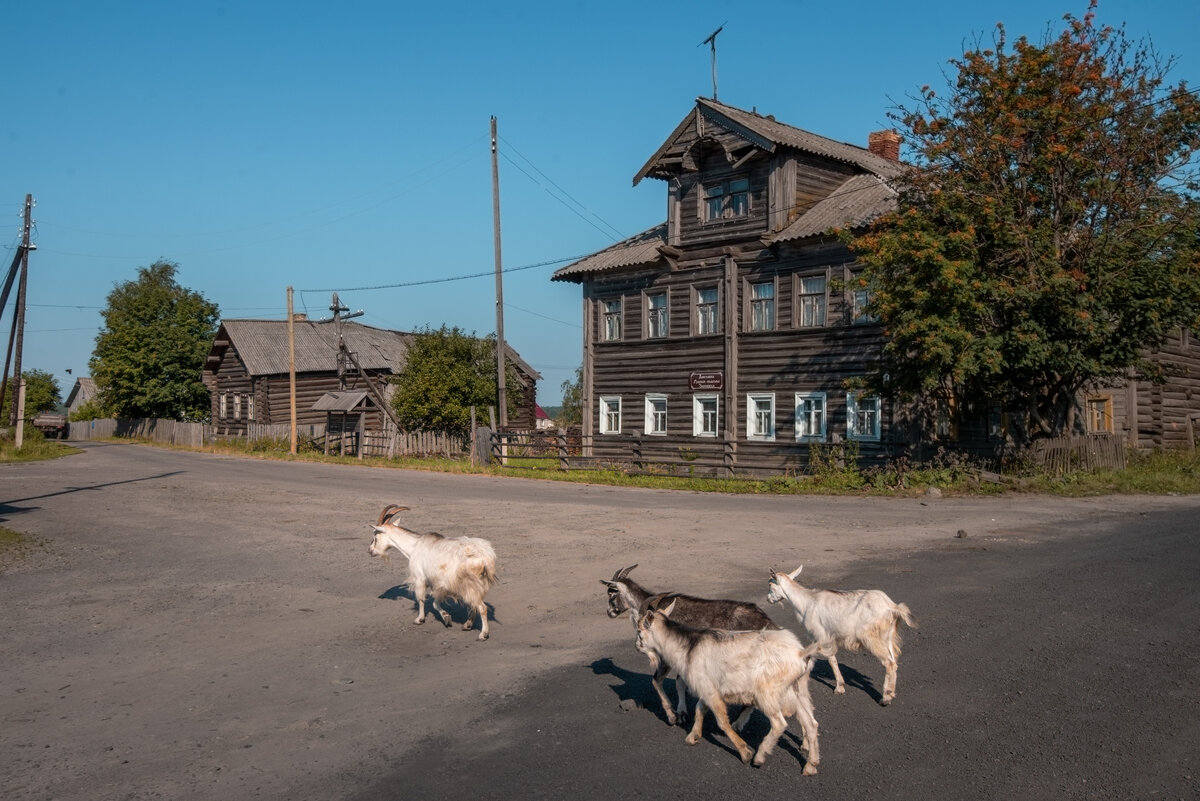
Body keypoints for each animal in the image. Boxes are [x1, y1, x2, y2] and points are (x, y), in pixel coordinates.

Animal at [364, 503, 496, 642]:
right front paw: (446, 617)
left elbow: (421, 599)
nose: (370, 551)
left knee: (482, 607)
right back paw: (467, 625)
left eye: (375, 537)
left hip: (470, 584)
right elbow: (435, 603)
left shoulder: (420, 578)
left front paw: (419, 619)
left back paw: (483, 634)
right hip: (475, 585)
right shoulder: (437, 584)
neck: (414, 546)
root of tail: (485, 556)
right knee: (474, 604)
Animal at [600, 563, 777, 724]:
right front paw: (681, 712)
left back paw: (737, 723)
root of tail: (769, 623)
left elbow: (658, 680)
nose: (609, 612)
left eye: (611, 593)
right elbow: (679, 683)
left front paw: (673, 715)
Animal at [633, 599, 820, 777]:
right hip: (798, 690)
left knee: (779, 723)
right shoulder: (707, 688)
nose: (637, 646)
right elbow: (699, 709)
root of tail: (800, 654)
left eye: (640, 630)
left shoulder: (710, 692)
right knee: (811, 723)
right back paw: (810, 765)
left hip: (767, 693)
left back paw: (759, 757)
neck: (689, 648)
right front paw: (693, 736)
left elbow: (722, 721)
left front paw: (745, 752)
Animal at [768, 565, 916, 705]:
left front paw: (839, 687)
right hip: (887, 636)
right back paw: (891, 693)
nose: (768, 599)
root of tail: (892, 607)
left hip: (873, 638)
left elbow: (830, 660)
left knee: (889, 663)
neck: (806, 602)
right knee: (894, 660)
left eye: (770, 585)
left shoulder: (821, 636)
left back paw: (885, 698)